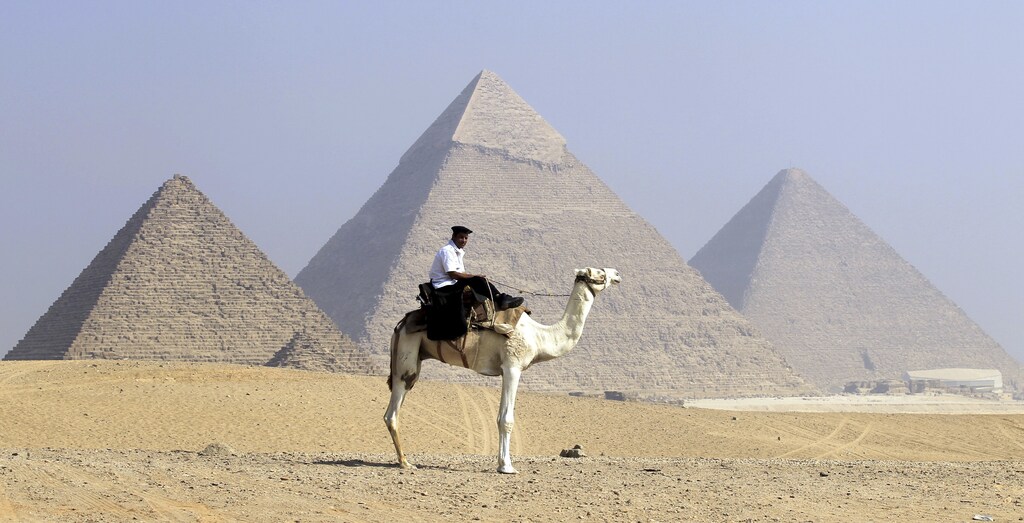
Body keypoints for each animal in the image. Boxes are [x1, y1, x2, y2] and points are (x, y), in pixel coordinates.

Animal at [384, 267, 621, 474]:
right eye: (599, 273)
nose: (617, 274)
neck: (539, 336)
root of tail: (400, 324)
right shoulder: (512, 366)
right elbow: (506, 419)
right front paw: (507, 466)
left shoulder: (506, 369)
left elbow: (501, 416)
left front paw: (502, 463)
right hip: (407, 355)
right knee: (392, 412)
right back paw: (405, 463)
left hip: (414, 359)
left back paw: (404, 460)